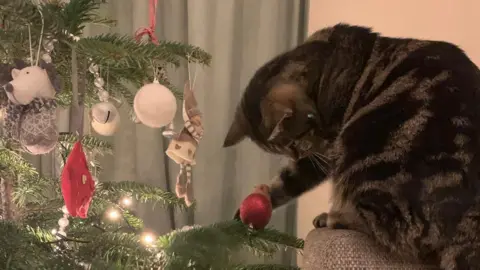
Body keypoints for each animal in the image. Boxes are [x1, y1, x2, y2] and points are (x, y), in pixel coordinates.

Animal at [223, 23, 480, 270]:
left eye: (295, 143)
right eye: (287, 148)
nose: (299, 153)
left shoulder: (328, 151)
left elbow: (296, 175)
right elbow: (288, 179)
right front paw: (259, 197)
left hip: (362, 149)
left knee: (393, 228)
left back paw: (332, 216)